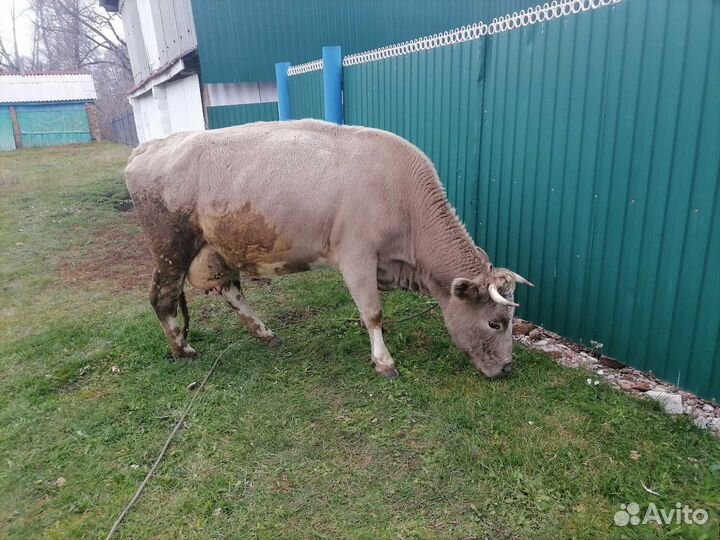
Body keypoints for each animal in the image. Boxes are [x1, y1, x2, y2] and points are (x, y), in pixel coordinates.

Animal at [125, 120, 533, 379]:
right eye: (495, 322)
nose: (508, 368)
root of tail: (151, 146)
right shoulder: (357, 256)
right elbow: (373, 314)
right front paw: (384, 362)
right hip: (171, 247)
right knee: (162, 297)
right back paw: (182, 350)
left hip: (215, 250)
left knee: (231, 291)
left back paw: (264, 333)